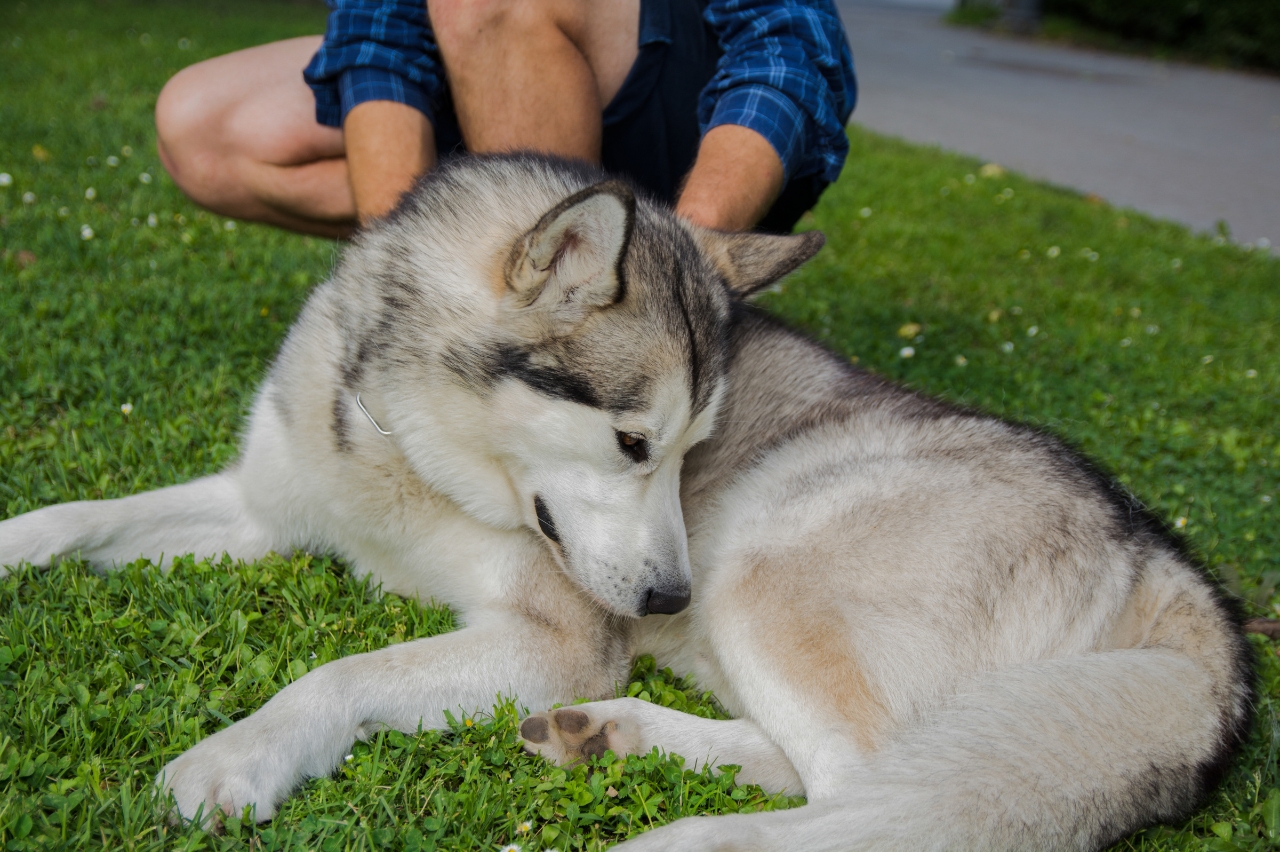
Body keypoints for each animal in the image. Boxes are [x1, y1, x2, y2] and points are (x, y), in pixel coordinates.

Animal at [0, 154, 1254, 849]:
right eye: (632, 441)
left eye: (690, 449)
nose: (662, 597)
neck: (409, 451)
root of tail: (1175, 568)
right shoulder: (260, 507)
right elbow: (74, 516)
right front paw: (20, 541)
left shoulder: (553, 639)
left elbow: (339, 675)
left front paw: (240, 754)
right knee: (825, 770)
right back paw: (610, 735)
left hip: (765, 560)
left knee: (870, 802)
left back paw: (683, 834)